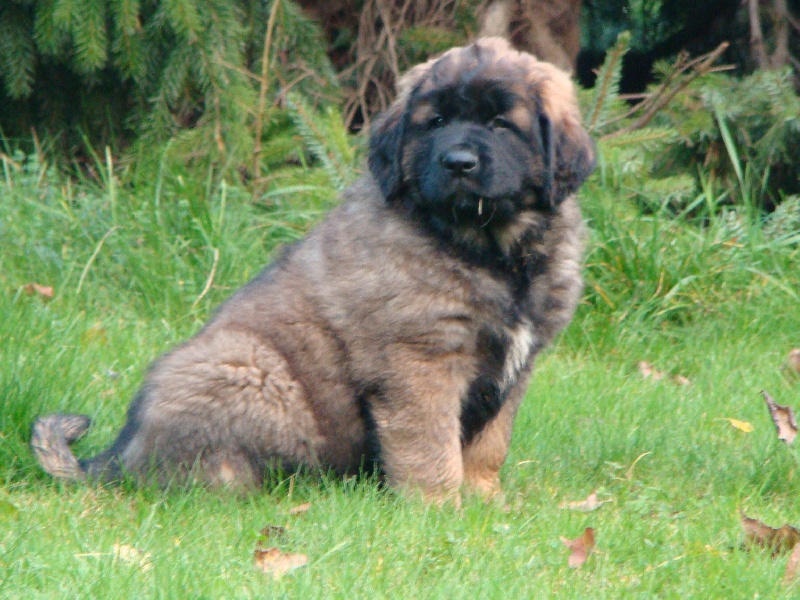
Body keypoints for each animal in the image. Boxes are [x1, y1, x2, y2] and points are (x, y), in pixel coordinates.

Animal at [31, 37, 595, 502]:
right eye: (434, 123)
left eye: (502, 124)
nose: (458, 162)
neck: (492, 250)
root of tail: (118, 453)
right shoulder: (420, 359)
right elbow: (430, 444)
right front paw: (438, 508)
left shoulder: (516, 365)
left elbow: (490, 441)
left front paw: (482, 498)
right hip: (249, 366)